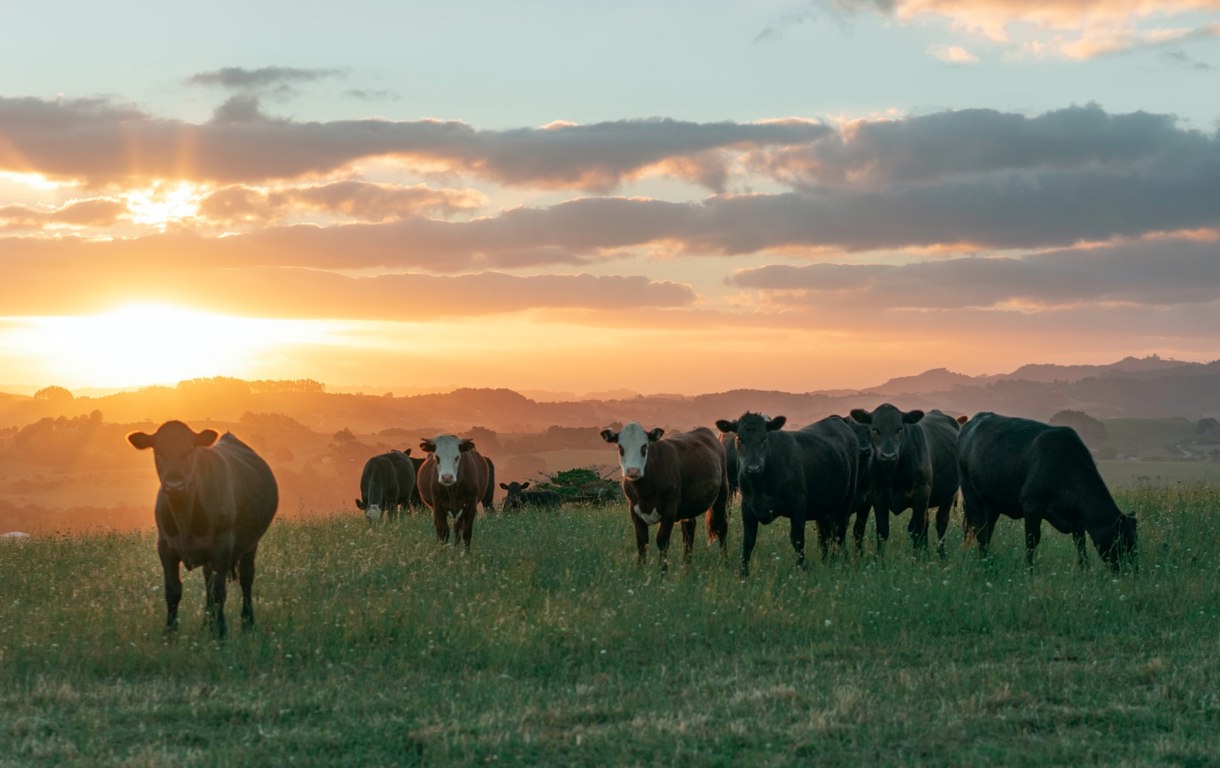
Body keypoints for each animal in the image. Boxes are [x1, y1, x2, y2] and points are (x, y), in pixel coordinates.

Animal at [129, 421, 280, 638]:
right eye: (158, 451)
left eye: (190, 450)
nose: (174, 484)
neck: (184, 514)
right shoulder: (165, 547)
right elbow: (173, 591)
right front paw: (170, 633)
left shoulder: (222, 547)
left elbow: (219, 593)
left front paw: (221, 633)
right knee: (208, 582)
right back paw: (206, 625)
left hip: (251, 543)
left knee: (246, 578)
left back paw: (247, 623)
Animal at [597, 421, 722, 572]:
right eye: (621, 447)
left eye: (644, 446)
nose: (633, 471)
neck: (644, 491)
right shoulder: (634, 509)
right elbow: (642, 541)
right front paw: (640, 570)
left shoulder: (670, 509)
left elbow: (662, 540)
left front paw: (662, 570)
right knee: (689, 532)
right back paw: (686, 566)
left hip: (723, 494)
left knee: (722, 528)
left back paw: (724, 561)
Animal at [712, 414, 858, 577]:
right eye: (739, 438)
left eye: (764, 439)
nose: (753, 468)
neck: (760, 485)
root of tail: (837, 419)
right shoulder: (748, 506)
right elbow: (748, 541)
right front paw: (743, 573)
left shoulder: (798, 504)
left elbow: (797, 539)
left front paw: (802, 568)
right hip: (825, 507)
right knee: (826, 534)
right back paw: (828, 561)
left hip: (846, 501)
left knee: (839, 533)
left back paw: (839, 561)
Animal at [849, 402, 961, 560]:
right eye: (875, 429)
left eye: (900, 428)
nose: (888, 456)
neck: (894, 474)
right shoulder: (877, 495)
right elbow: (882, 530)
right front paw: (879, 561)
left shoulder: (921, 493)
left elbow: (916, 529)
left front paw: (917, 560)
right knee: (927, 523)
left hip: (950, 494)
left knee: (941, 523)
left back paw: (941, 556)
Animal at [956, 414, 1137, 572]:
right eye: (1123, 541)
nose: (1131, 572)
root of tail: (973, 420)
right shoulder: (1032, 506)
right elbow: (1032, 540)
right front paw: (1029, 570)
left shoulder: (1077, 519)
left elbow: (1080, 543)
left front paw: (1084, 570)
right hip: (970, 491)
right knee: (980, 528)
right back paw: (985, 562)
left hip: (992, 502)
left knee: (988, 529)